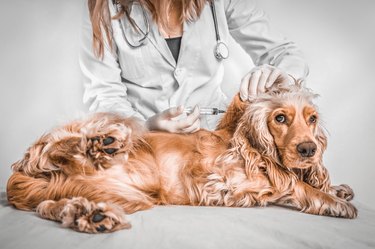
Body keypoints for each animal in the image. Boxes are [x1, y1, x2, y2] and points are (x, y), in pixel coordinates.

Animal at [6, 82, 358, 232]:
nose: (308, 149)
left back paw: (89, 215)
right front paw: (335, 202)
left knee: (48, 205)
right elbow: (295, 185)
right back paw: (105, 141)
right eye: (280, 118)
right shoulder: (237, 180)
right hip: (83, 135)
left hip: (79, 189)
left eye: (312, 119)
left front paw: (338, 189)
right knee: (54, 147)